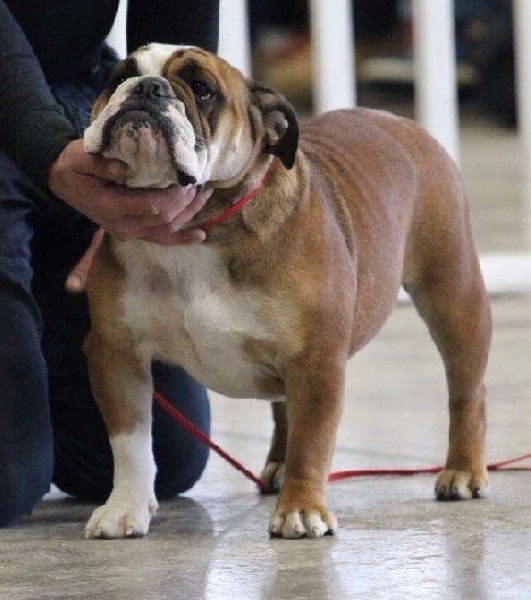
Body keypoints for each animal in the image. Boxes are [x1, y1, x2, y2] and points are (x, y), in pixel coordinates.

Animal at [82, 43, 491, 539]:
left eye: (202, 88)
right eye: (117, 77)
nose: (147, 88)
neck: (198, 230)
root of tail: (402, 123)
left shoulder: (316, 362)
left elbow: (312, 442)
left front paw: (302, 509)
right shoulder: (117, 354)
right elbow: (130, 441)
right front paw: (124, 507)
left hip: (452, 295)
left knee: (466, 392)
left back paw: (463, 471)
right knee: (283, 409)